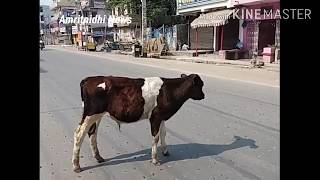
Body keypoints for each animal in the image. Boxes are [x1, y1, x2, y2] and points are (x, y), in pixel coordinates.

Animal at [72, 73, 205, 173]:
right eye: (201, 85)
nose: (203, 96)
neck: (170, 90)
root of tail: (89, 79)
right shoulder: (155, 116)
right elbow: (155, 137)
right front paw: (155, 160)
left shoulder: (161, 116)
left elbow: (163, 133)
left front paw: (165, 151)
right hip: (90, 114)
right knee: (79, 134)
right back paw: (76, 166)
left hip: (97, 115)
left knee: (92, 133)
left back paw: (98, 157)